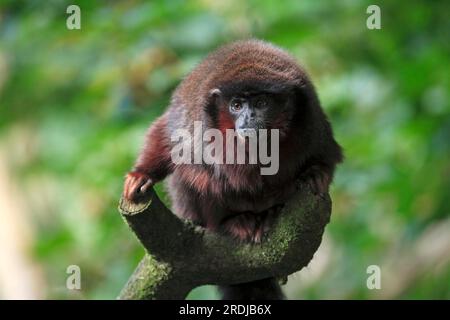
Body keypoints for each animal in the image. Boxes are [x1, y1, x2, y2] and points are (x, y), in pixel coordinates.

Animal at [121, 40, 342, 300]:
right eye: (236, 105)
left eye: (261, 103)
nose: (247, 118)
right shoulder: (194, 122)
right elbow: (167, 135)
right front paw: (141, 174)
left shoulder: (311, 123)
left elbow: (327, 156)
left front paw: (315, 174)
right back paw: (234, 222)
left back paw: (270, 214)